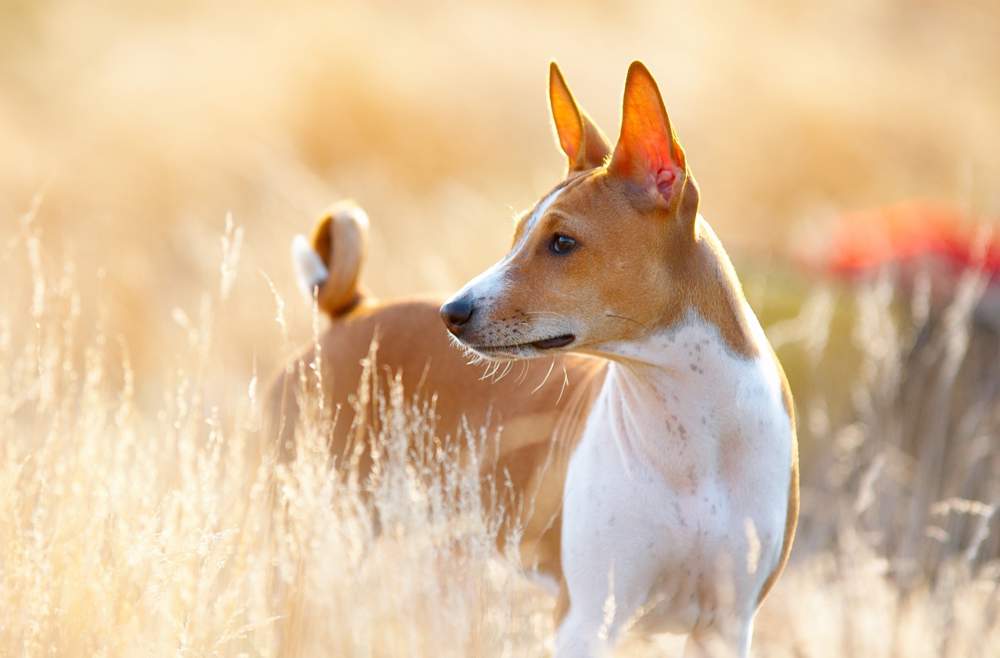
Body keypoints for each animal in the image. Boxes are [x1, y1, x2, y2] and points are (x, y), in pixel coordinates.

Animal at [274, 61, 796, 656]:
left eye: (562, 242)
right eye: (518, 232)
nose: (452, 312)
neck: (690, 438)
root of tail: (352, 312)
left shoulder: (725, 626)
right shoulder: (587, 618)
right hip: (316, 537)